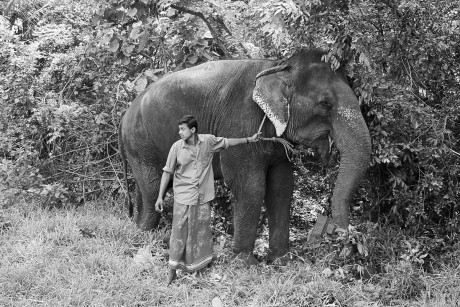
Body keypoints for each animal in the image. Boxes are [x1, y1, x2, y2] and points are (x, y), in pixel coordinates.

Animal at [118, 50, 370, 264]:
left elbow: (282, 187)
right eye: (325, 104)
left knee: (146, 188)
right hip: (140, 142)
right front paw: (245, 263)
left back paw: (140, 228)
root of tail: (124, 116)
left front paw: (282, 261)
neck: (278, 65)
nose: (346, 247)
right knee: (153, 187)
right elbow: (250, 186)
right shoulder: (239, 122)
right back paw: (147, 236)